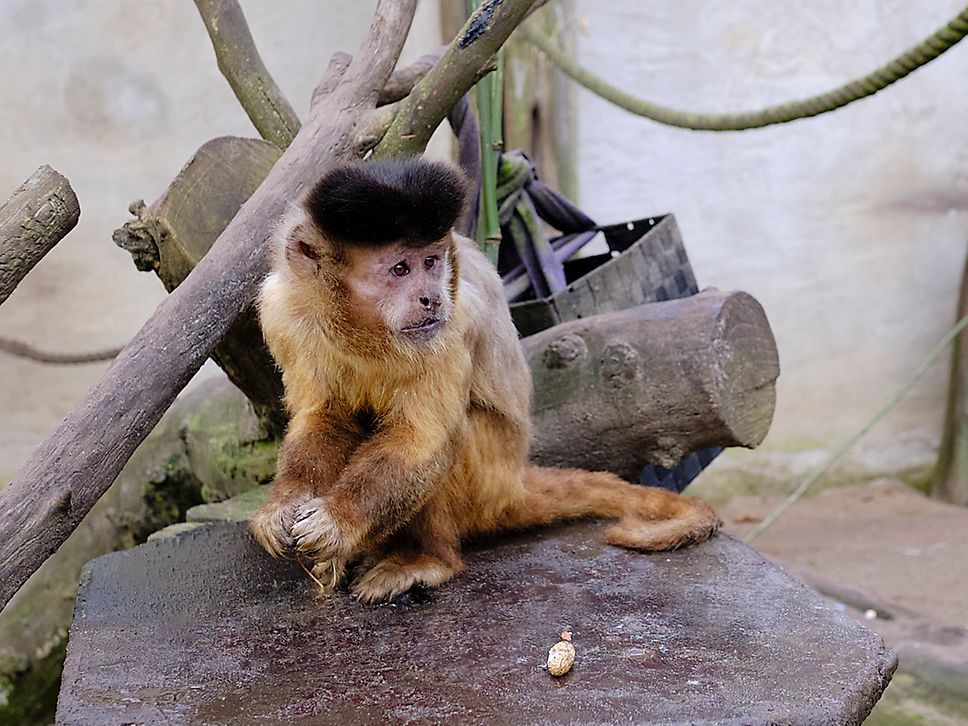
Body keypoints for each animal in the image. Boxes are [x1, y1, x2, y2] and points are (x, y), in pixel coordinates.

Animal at [250, 158, 720, 604]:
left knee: (455, 436)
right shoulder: (281, 309)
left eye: (431, 262)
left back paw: (426, 559)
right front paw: (284, 506)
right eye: (400, 269)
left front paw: (337, 522)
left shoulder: (456, 319)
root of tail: (515, 482)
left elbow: (424, 440)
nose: (431, 297)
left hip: (488, 483)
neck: (362, 330)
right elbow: (323, 418)